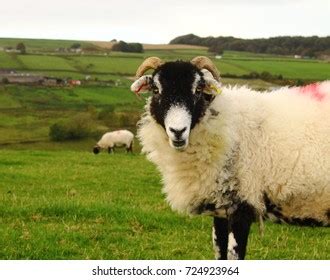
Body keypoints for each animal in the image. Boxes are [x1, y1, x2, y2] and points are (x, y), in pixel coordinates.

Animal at [130, 55, 330, 260]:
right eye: (156, 89)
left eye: (198, 89)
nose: (178, 131)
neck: (229, 126)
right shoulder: (220, 210)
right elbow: (219, 252)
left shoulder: (243, 205)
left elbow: (234, 254)